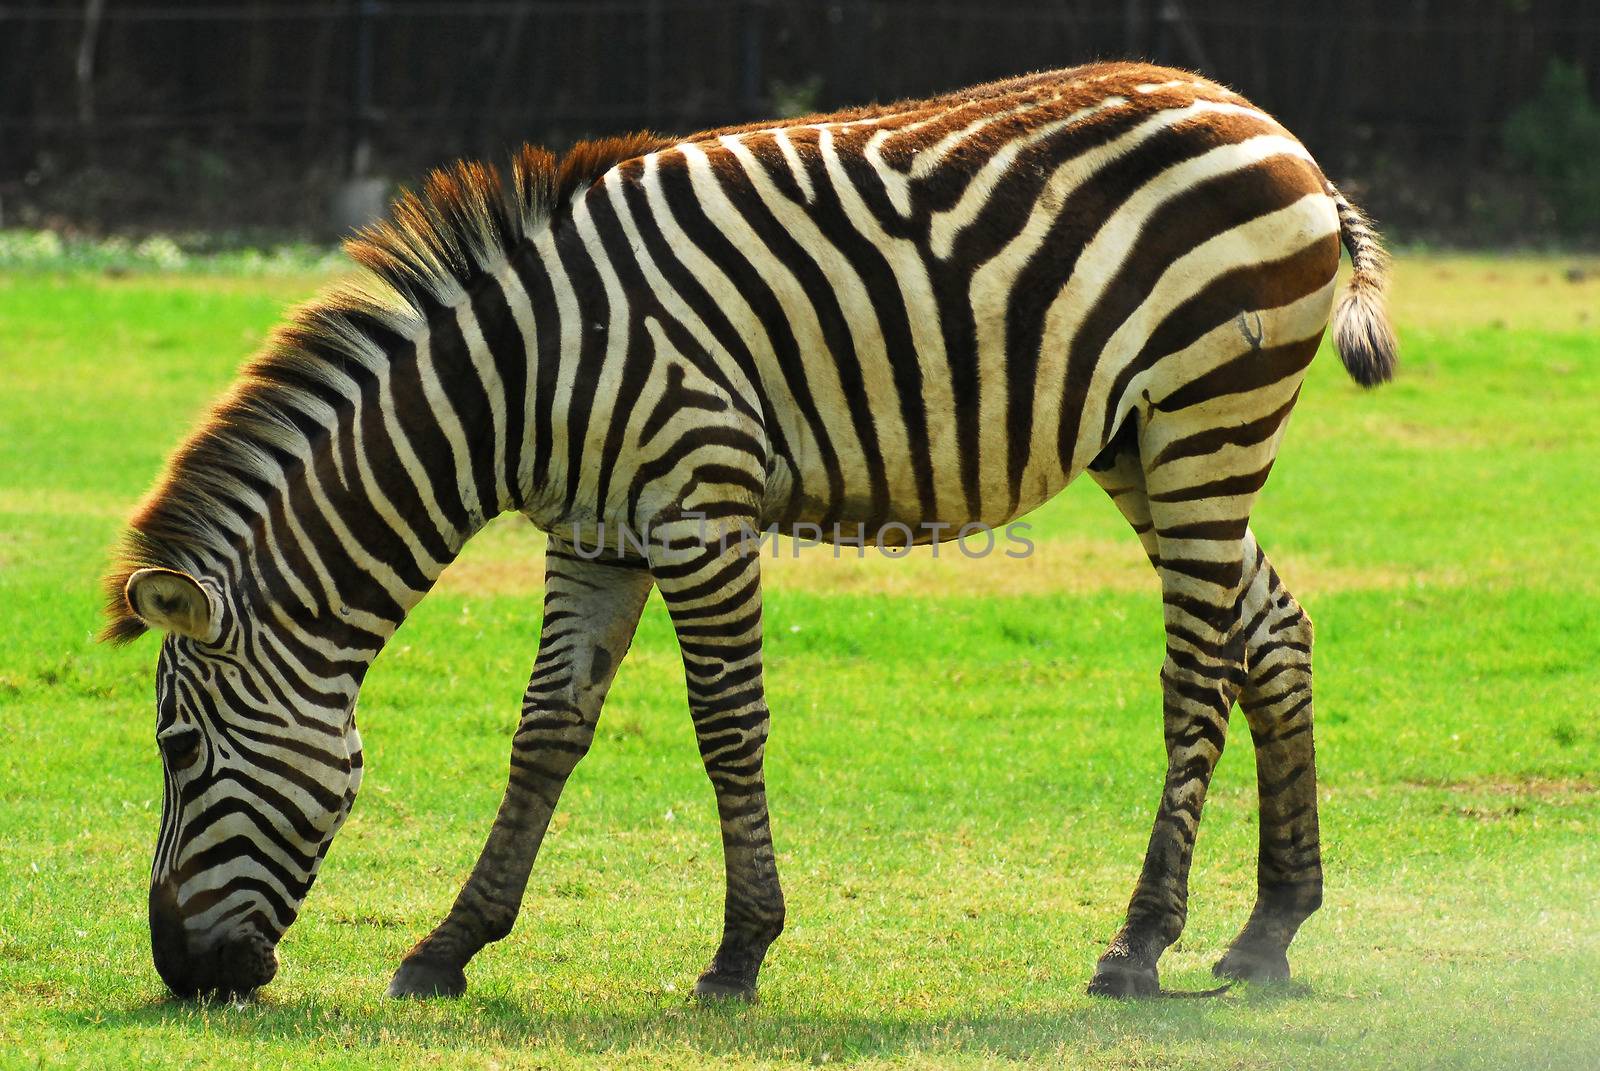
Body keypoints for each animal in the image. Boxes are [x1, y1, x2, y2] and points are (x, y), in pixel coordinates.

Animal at [106, 64, 1395, 1005]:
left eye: (176, 750)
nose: (184, 974)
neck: (518, 382)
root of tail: (1266, 125)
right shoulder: (594, 536)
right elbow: (545, 734)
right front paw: (447, 947)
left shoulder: (698, 509)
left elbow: (727, 729)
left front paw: (739, 953)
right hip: (1144, 444)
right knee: (1272, 630)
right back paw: (1268, 931)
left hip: (1206, 415)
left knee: (1200, 670)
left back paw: (1138, 947)